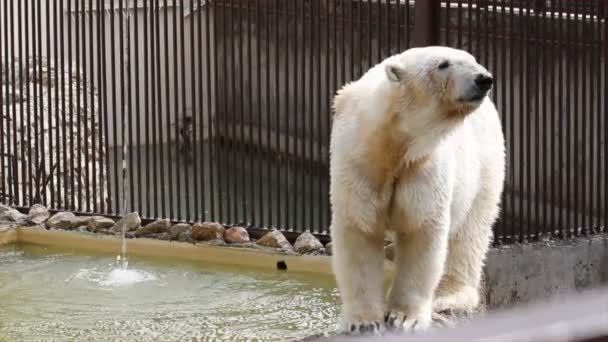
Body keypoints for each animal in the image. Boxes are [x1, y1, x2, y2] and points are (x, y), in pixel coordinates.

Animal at [330, 46, 506, 336]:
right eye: (443, 64)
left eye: (472, 59)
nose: (484, 79)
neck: (393, 143)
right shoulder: (358, 160)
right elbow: (360, 228)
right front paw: (364, 321)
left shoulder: (424, 165)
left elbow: (420, 229)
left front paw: (404, 318)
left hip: (486, 165)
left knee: (470, 233)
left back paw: (450, 296)